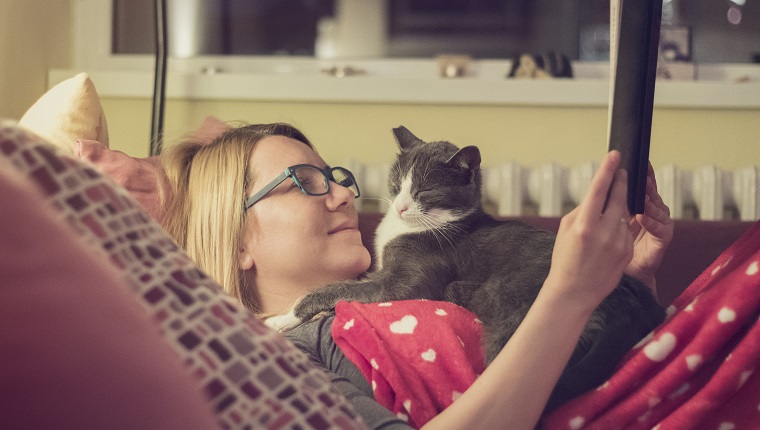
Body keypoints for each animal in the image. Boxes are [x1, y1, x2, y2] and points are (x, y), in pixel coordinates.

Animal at [296, 126, 664, 412]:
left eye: (424, 190)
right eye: (396, 182)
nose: (400, 206)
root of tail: (628, 307)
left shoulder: (410, 280)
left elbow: (351, 287)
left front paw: (296, 309)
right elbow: (356, 281)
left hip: (511, 309)